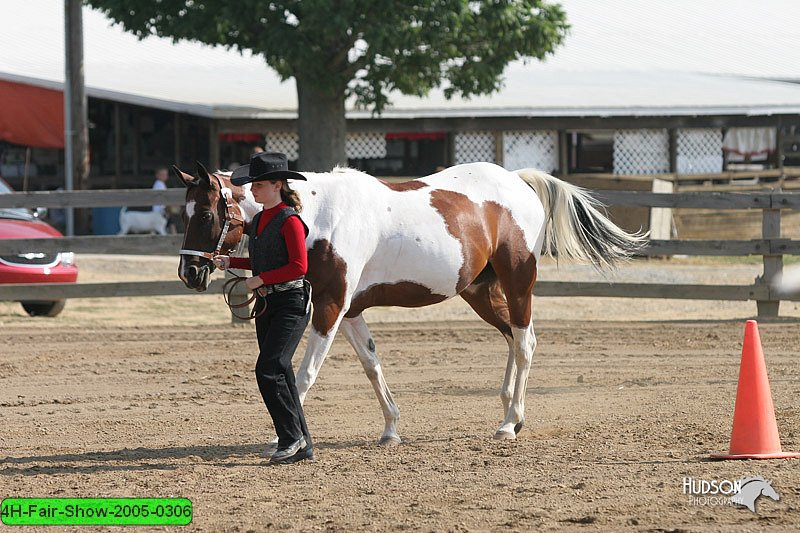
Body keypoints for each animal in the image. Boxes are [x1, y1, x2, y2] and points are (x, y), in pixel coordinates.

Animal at [173, 163, 644, 444]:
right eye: (184, 213)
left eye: (205, 215)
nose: (190, 272)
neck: (319, 214)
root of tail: (517, 181)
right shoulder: (351, 310)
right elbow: (372, 365)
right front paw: (391, 429)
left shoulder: (330, 306)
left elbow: (304, 373)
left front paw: (281, 438)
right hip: (480, 291)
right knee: (513, 337)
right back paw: (511, 408)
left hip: (518, 282)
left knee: (525, 342)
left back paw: (510, 422)